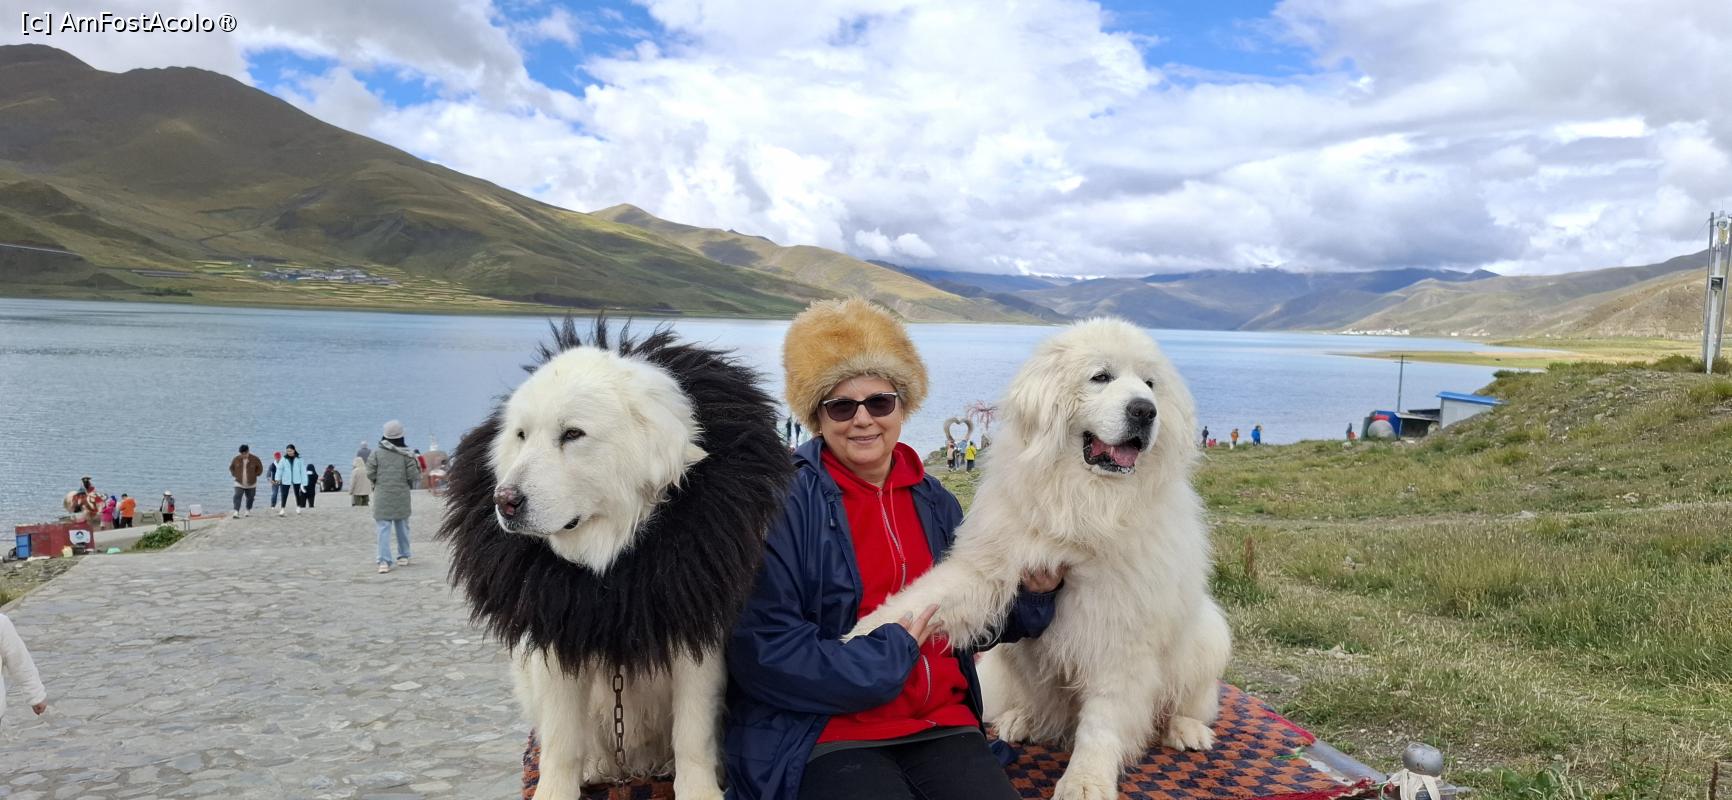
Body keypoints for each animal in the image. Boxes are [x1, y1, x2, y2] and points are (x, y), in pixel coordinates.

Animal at [440, 318, 790, 800]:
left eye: (573, 434)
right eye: (520, 435)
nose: (504, 501)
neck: (615, 564)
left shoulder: (697, 630)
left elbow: (692, 734)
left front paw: (700, 789)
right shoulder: (560, 630)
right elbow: (561, 741)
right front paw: (555, 790)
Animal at [847, 317, 1232, 800]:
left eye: (1150, 384)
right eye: (1101, 376)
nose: (1145, 411)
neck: (1085, 504)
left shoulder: (1121, 626)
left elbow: (1103, 720)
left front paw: (1085, 781)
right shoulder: (988, 569)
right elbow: (923, 597)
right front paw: (860, 635)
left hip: (1206, 635)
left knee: (1191, 700)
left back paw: (1186, 729)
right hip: (1009, 660)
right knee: (1031, 702)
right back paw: (1021, 720)